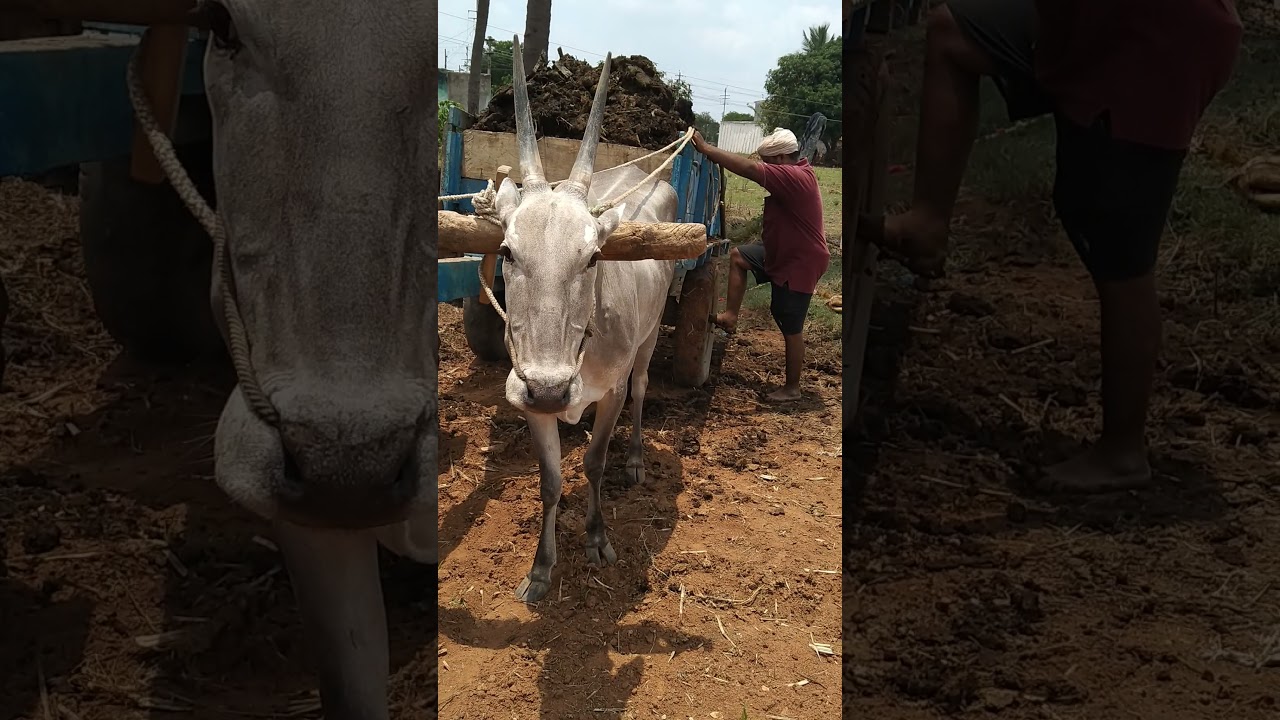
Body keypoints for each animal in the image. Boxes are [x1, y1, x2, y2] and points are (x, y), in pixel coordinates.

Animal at [490, 37, 677, 603]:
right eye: (506, 250)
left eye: (593, 256)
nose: (551, 388)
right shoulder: (526, 397)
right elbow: (550, 482)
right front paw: (541, 568)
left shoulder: (609, 391)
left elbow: (594, 463)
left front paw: (596, 538)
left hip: (651, 333)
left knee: (642, 386)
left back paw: (634, 459)